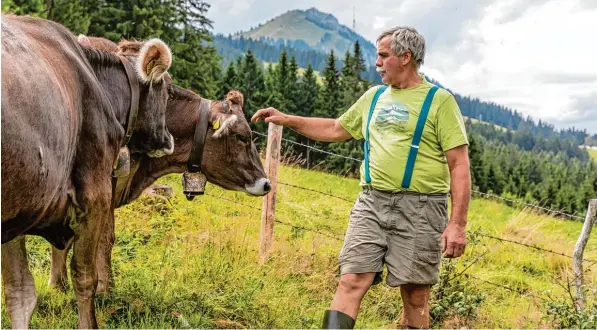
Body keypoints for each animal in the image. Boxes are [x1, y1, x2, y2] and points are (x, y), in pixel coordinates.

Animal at [1, 16, 175, 328]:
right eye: (167, 90)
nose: (168, 139)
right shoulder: (94, 198)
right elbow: (84, 278)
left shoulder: (19, 212)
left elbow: (19, 292)